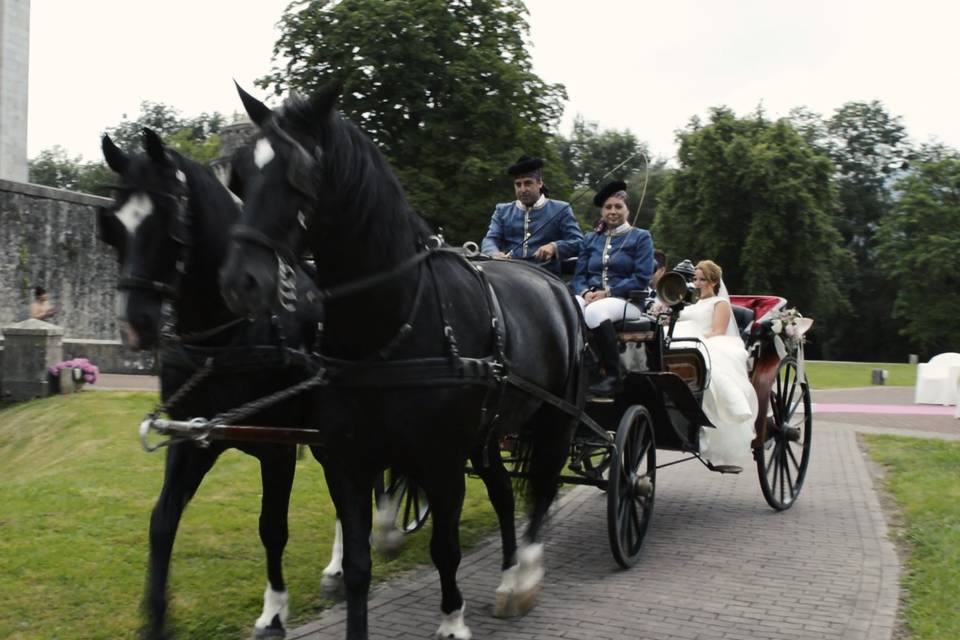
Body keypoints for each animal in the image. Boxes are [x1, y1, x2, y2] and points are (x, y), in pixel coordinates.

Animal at [99, 127, 322, 636]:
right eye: (114, 226)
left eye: (169, 222)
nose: (133, 326)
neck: (227, 336)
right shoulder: (192, 437)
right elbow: (162, 520)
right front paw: (156, 618)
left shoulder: (278, 446)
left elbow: (272, 525)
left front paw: (274, 609)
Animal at [218, 86, 584, 640]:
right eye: (239, 174)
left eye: (300, 173)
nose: (241, 281)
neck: (390, 328)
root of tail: (553, 283)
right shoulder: (347, 460)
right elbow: (358, 566)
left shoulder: (440, 459)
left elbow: (445, 548)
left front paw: (452, 622)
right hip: (485, 436)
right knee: (502, 491)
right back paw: (506, 572)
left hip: (554, 421)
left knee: (540, 488)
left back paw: (523, 578)